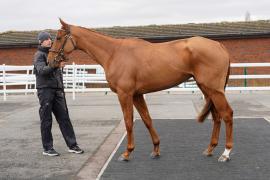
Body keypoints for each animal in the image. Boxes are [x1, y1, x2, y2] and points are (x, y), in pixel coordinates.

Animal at [48, 19, 234, 162]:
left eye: (58, 37)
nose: (50, 61)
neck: (114, 53)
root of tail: (219, 45)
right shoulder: (137, 95)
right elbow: (147, 120)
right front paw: (156, 149)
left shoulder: (125, 94)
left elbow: (128, 122)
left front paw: (127, 153)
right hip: (208, 89)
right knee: (217, 116)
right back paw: (210, 149)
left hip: (214, 90)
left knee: (227, 114)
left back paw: (226, 153)